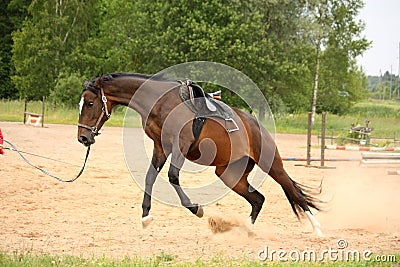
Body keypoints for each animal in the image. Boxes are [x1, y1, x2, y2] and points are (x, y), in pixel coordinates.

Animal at [78, 73, 324, 237]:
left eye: (90, 103)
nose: (83, 138)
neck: (161, 102)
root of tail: (257, 125)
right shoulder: (160, 147)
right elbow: (150, 177)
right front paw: (146, 217)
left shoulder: (180, 146)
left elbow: (173, 177)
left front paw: (196, 208)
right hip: (230, 174)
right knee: (258, 199)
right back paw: (246, 230)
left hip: (271, 164)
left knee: (294, 192)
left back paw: (317, 229)